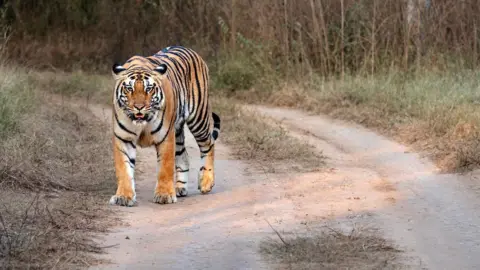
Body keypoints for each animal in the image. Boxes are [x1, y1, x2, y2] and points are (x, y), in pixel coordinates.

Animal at [109, 46, 220, 207]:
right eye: (129, 88)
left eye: (149, 89)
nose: (139, 107)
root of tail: (190, 50)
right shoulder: (123, 138)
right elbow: (123, 169)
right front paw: (124, 196)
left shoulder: (165, 136)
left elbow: (165, 168)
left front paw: (164, 195)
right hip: (178, 130)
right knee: (184, 156)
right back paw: (180, 188)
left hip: (198, 117)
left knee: (208, 144)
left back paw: (206, 182)